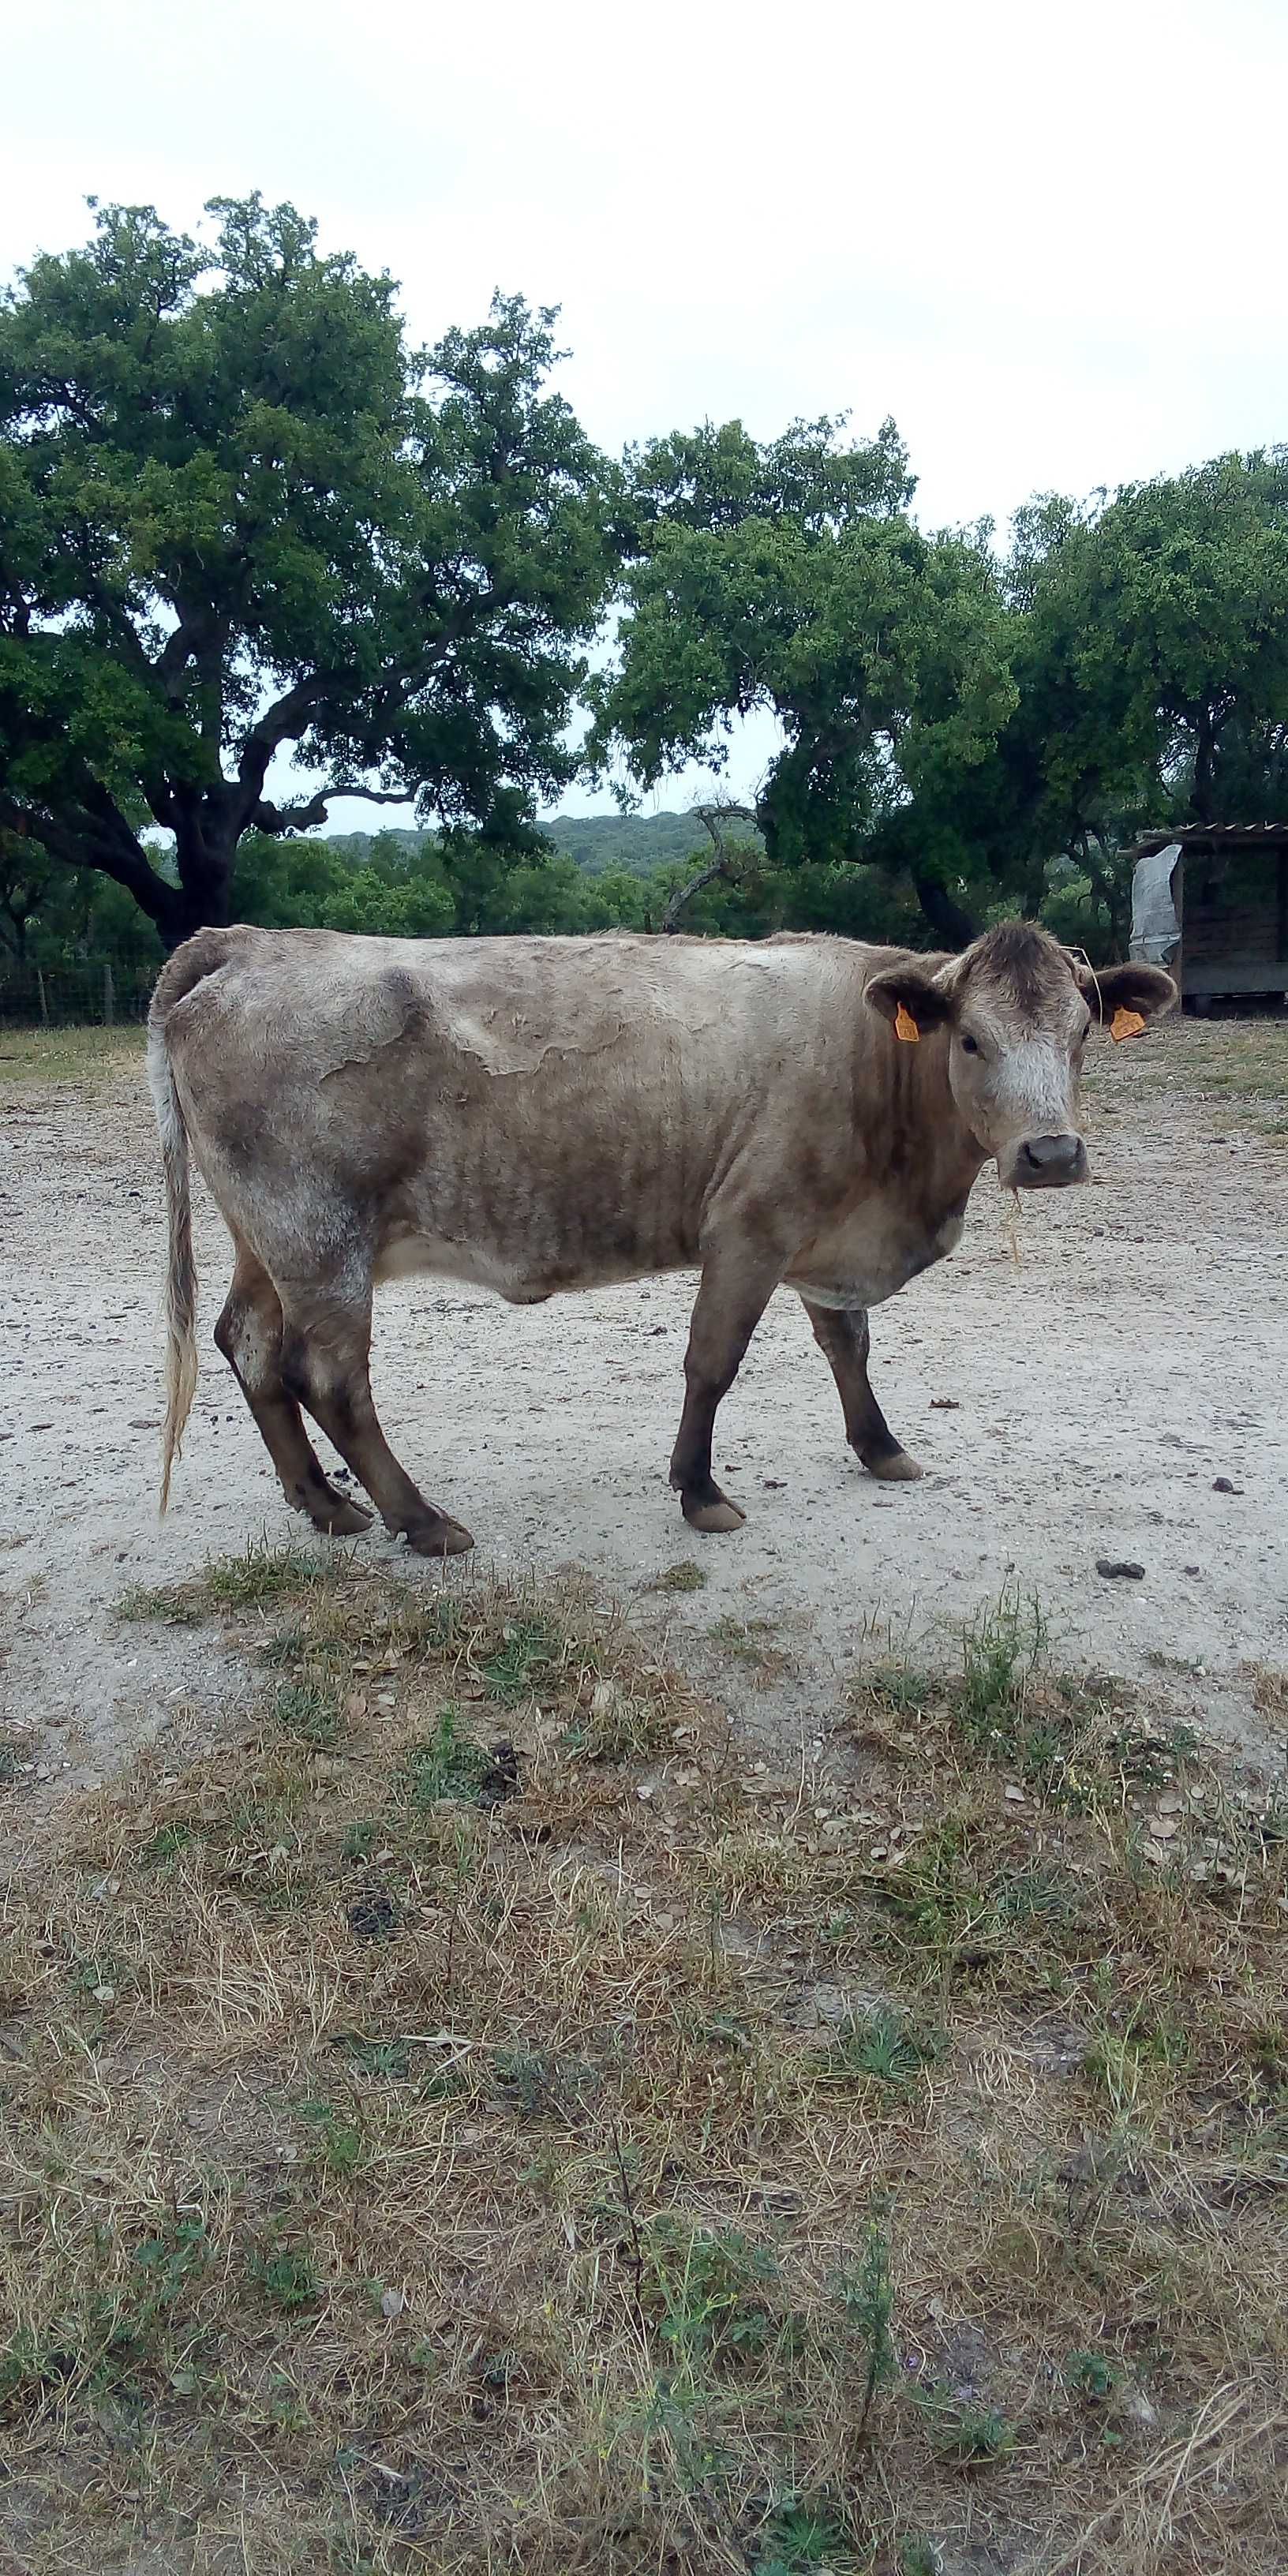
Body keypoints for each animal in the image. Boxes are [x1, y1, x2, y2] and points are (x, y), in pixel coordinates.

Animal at [148, 932, 1179, 1556]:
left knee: (250, 1347)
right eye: (969, 1040)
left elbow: (847, 1345)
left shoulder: (824, 1239)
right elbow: (711, 1364)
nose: (1052, 1153)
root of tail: (255, 943)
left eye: (1082, 1034)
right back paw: (421, 1519)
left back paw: (323, 1503)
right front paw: (699, 1489)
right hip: (320, 1237)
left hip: (266, 1240)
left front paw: (880, 1446)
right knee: (330, 1379)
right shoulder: (751, 1228)